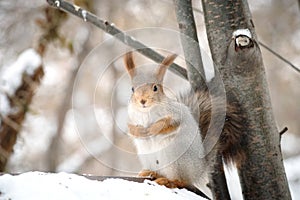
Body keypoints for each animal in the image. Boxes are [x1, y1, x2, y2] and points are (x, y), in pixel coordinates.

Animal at [123, 50, 246, 198]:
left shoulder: (176, 114)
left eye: (155, 88)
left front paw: (153, 129)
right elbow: (131, 129)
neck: (146, 112)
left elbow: (169, 124)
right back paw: (150, 172)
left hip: (176, 161)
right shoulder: (131, 118)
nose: (142, 101)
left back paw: (168, 181)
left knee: (181, 181)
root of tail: (199, 169)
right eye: (132, 89)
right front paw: (139, 131)